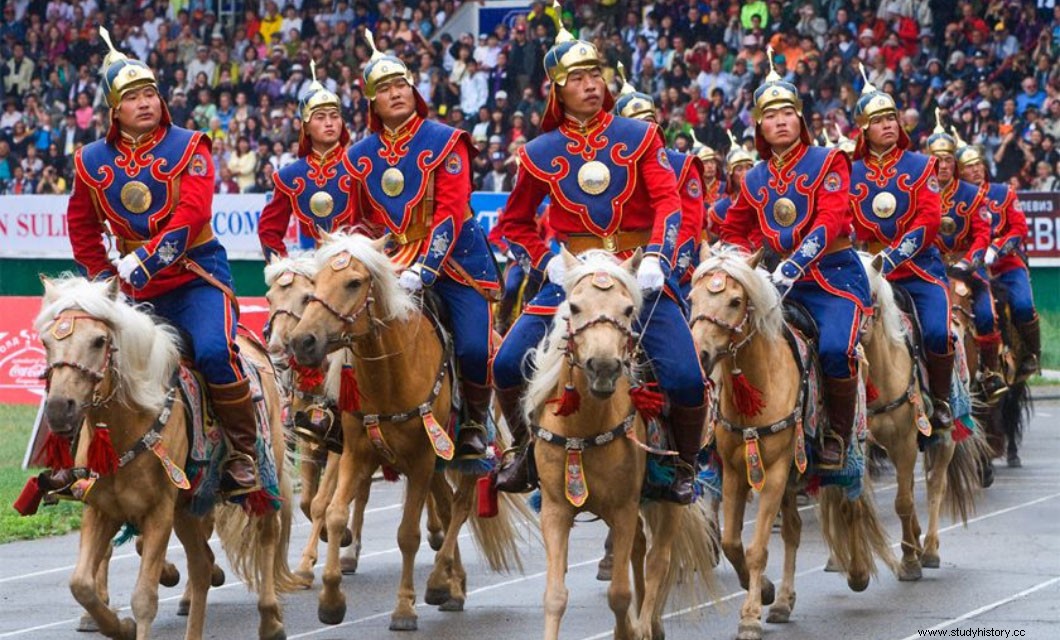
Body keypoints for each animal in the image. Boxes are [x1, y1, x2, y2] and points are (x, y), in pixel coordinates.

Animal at [35, 275, 301, 640]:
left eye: (99, 340)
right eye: (46, 341)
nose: (60, 408)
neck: (127, 425)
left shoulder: (158, 512)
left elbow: (144, 597)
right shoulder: (101, 509)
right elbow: (81, 585)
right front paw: (120, 626)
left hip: (261, 473)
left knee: (267, 533)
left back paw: (271, 620)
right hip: (188, 506)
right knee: (202, 564)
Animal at [288, 229, 527, 631]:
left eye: (354, 282)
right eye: (315, 283)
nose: (303, 341)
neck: (390, 374)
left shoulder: (420, 460)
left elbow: (408, 534)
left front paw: (403, 609)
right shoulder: (356, 453)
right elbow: (334, 513)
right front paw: (331, 599)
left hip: (462, 458)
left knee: (459, 507)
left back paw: (440, 583)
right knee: (445, 508)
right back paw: (454, 584)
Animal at [521, 247, 712, 640]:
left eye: (627, 309)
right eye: (574, 306)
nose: (604, 367)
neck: (584, 425)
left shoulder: (623, 509)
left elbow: (620, 594)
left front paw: (631, 629)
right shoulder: (555, 511)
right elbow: (555, 595)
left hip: (668, 498)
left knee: (658, 560)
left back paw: (650, 624)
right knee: (640, 551)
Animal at [686, 244, 894, 640]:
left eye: (735, 300)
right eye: (691, 298)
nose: (701, 355)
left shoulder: (777, 470)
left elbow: (756, 549)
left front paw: (750, 616)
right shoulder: (736, 471)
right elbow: (733, 542)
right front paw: (764, 592)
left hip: (846, 453)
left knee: (851, 508)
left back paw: (858, 573)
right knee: (794, 530)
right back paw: (783, 601)